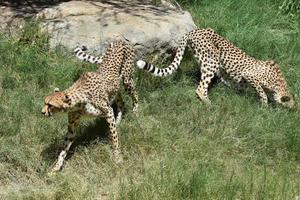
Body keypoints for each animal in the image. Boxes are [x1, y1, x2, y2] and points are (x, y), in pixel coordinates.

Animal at [42, 40, 138, 172]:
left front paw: (117, 157)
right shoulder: (72, 127)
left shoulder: (108, 112)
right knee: (121, 102)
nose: (42, 112)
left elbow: (114, 138)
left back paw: (136, 113)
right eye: (45, 102)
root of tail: (119, 40)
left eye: (50, 105)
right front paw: (56, 167)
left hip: (127, 79)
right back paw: (119, 120)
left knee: (135, 95)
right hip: (115, 87)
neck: (78, 102)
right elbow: (64, 148)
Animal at [137, 28, 296, 108]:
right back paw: (210, 105)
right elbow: (262, 93)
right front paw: (264, 107)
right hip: (211, 60)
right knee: (200, 88)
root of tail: (194, 30)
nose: (292, 111)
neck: (278, 82)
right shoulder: (249, 75)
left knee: (203, 87)